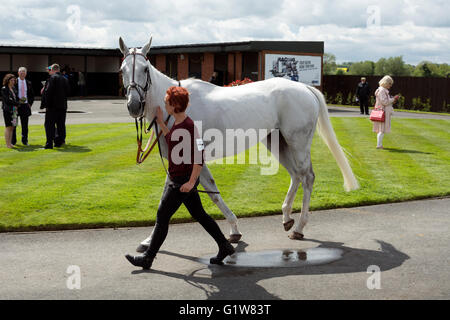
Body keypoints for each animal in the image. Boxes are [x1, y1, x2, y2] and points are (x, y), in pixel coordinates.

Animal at [119, 37, 358, 252]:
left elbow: (181, 199)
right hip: (276, 141)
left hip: (297, 142)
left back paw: (299, 227)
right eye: (122, 70)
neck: (176, 109)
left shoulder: (187, 159)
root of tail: (305, 89)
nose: (133, 105)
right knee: (296, 175)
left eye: (145, 69)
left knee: (307, 177)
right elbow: (201, 194)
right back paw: (286, 217)